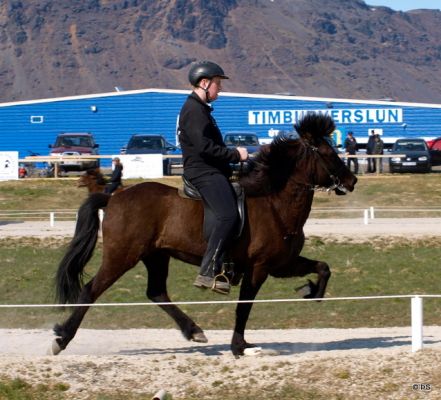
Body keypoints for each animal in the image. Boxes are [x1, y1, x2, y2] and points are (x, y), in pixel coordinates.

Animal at [52, 113, 357, 356]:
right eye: (328, 153)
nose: (352, 180)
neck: (274, 202)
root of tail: (113, 198)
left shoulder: (281, 264)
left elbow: (323, 267)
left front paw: (311, 291)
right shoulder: (259, 268)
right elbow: (244, 307)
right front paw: (239, 347)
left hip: (156, 256)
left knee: (156, 292)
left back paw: (194, 330)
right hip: (121, 257)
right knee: (91, 290)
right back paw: (62, 338)